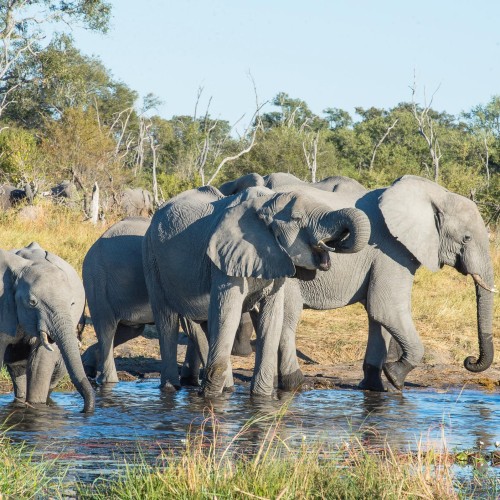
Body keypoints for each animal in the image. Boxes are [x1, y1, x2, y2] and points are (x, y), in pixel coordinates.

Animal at [82, 217, 258, 384]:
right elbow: (195, 328)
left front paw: (191, 382)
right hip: (97, 280)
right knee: (107, 327)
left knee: (129, 330)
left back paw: (87, 366)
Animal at [143, 186, 370, 396]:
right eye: (297, 218)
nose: (339, 242)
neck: (265, 203)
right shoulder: (226, 258)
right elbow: (228, 314)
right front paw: (210, 400)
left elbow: (272, 318)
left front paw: (261, 398)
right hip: (152, 257)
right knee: (167, 320)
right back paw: (171, 389)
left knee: (205, 324)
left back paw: (228, 389)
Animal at [254, 175, 496, 390]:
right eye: (466, 238)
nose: (470, 360)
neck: (434, 194)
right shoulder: (391, 250)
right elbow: (386, 308)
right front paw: (395, 377)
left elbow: (377, 315)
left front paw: (376, 387)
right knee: (288, 319)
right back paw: (294, 384)